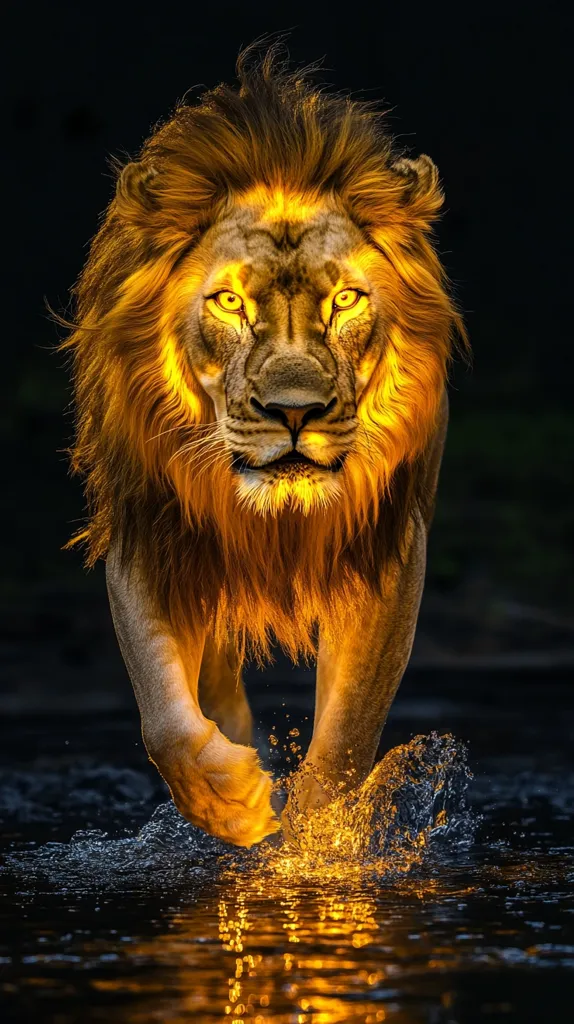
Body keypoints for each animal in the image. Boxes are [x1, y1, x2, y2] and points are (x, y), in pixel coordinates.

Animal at [59, 44, 467, 847]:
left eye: (345, 300)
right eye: (229, 301)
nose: (294, 412)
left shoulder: (388, 546)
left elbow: (345, 737)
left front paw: (313, 843)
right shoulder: (149, 526)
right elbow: (164, 718)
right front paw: (238, 806)